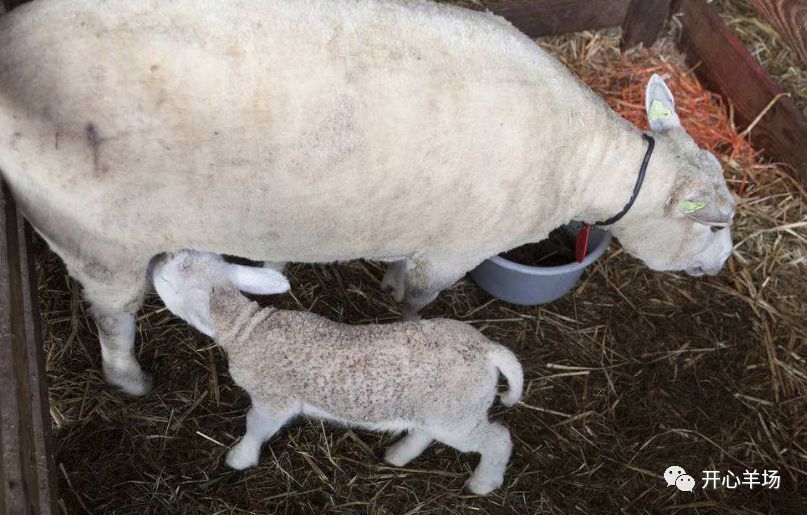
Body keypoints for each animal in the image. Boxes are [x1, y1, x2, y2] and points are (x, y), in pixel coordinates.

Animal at [0, 0, 736, 396]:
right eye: (713, 226)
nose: (724, 264)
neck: (578, 161)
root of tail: (12, 53)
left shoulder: (430, 230)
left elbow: (401, 264)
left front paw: (384, 278)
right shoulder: (458, 247)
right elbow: (418, 300)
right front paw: (403, 317)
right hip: (100, 238)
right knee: (113, 316)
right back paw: (128, 378)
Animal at [150, 250, 524, 496]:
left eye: (168, 278)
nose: (154, 261)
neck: (249, 329)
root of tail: (488, 350)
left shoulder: (274, 399)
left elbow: (255, 427)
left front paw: (239, 458)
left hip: (456, 415)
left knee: (498, 439)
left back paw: (482, 484)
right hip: (440, 410)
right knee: (424, 432)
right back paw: (398, 455)